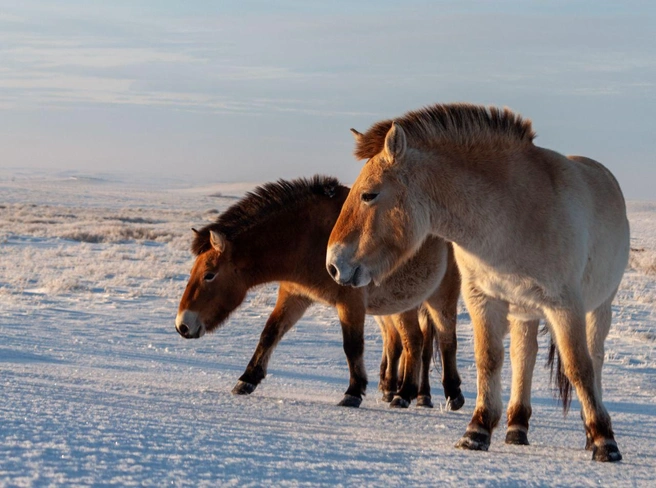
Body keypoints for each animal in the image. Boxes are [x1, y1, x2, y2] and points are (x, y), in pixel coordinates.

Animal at [175, 176, 465, 409]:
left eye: (209, 274)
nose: (182, 325)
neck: (310, 237)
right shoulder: (294, 296)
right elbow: (270, 333)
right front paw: (247, 379)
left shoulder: (350, 302)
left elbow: (352, 346)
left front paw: (353, 392)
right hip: (402, 304)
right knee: (412, 342)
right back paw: (403, 394)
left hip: (440, 299)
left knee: (445, 341)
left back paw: (448, 395)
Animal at [326, 103, 629, 462]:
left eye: (369, 194)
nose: (333, 264)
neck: (513, 213)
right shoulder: (482, 299)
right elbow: (488, 358)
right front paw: (477, 430)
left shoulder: (565, 306)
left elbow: (579, 366)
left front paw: (604, 441)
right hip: (524, 312)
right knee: (523, 357)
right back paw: (517, 427)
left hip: (599, 307)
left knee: (594, 358)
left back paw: (588, 430)